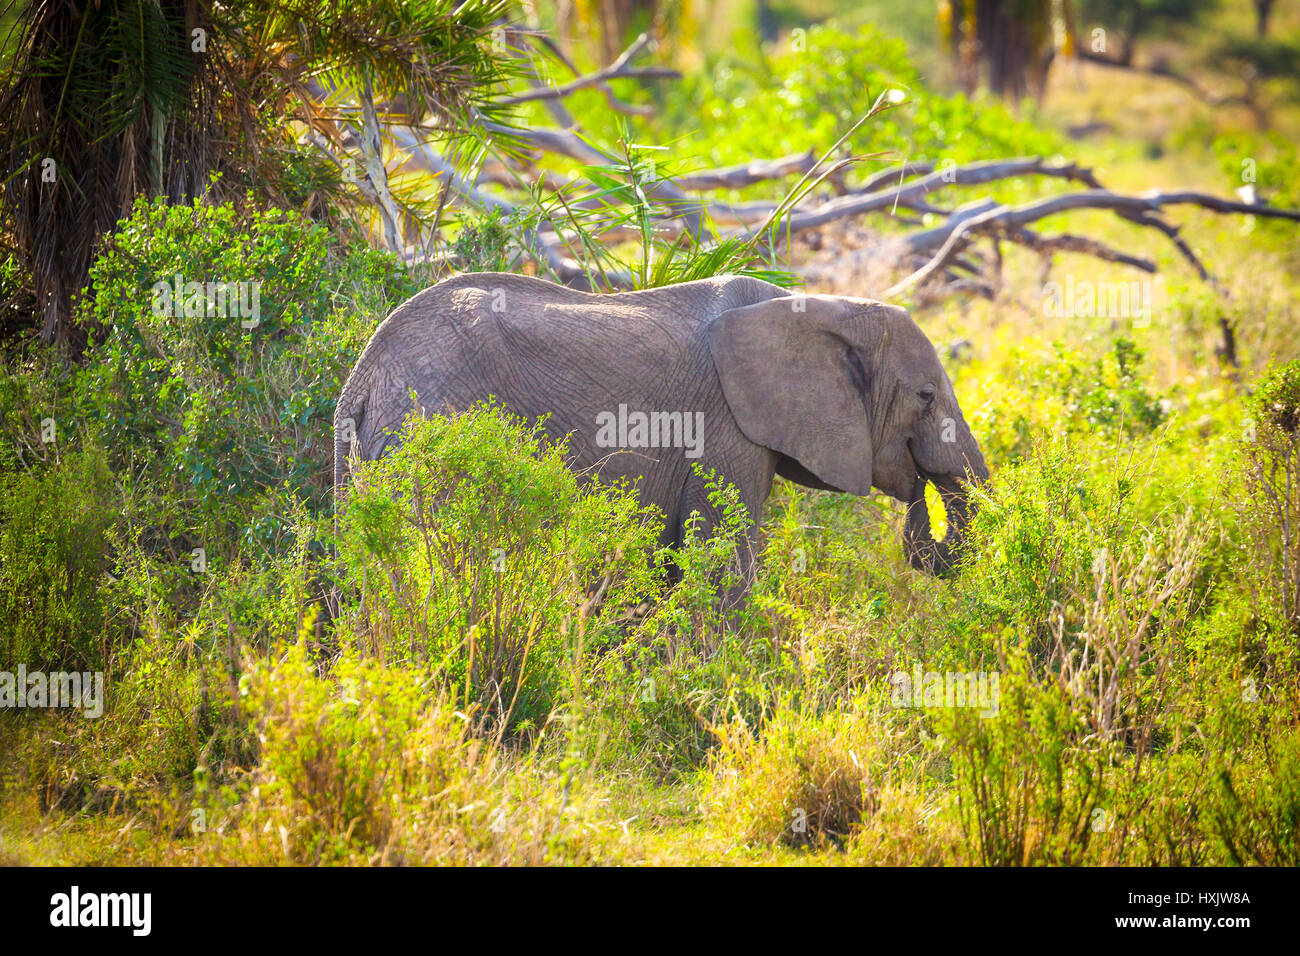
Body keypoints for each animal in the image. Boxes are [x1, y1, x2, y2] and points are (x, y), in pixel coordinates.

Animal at [332, 270, 982, 582]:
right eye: (926, 397)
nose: (919, 499)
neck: (823, 306)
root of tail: (357, 384)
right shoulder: (725, 428)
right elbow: (720, 566)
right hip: (425, 426)